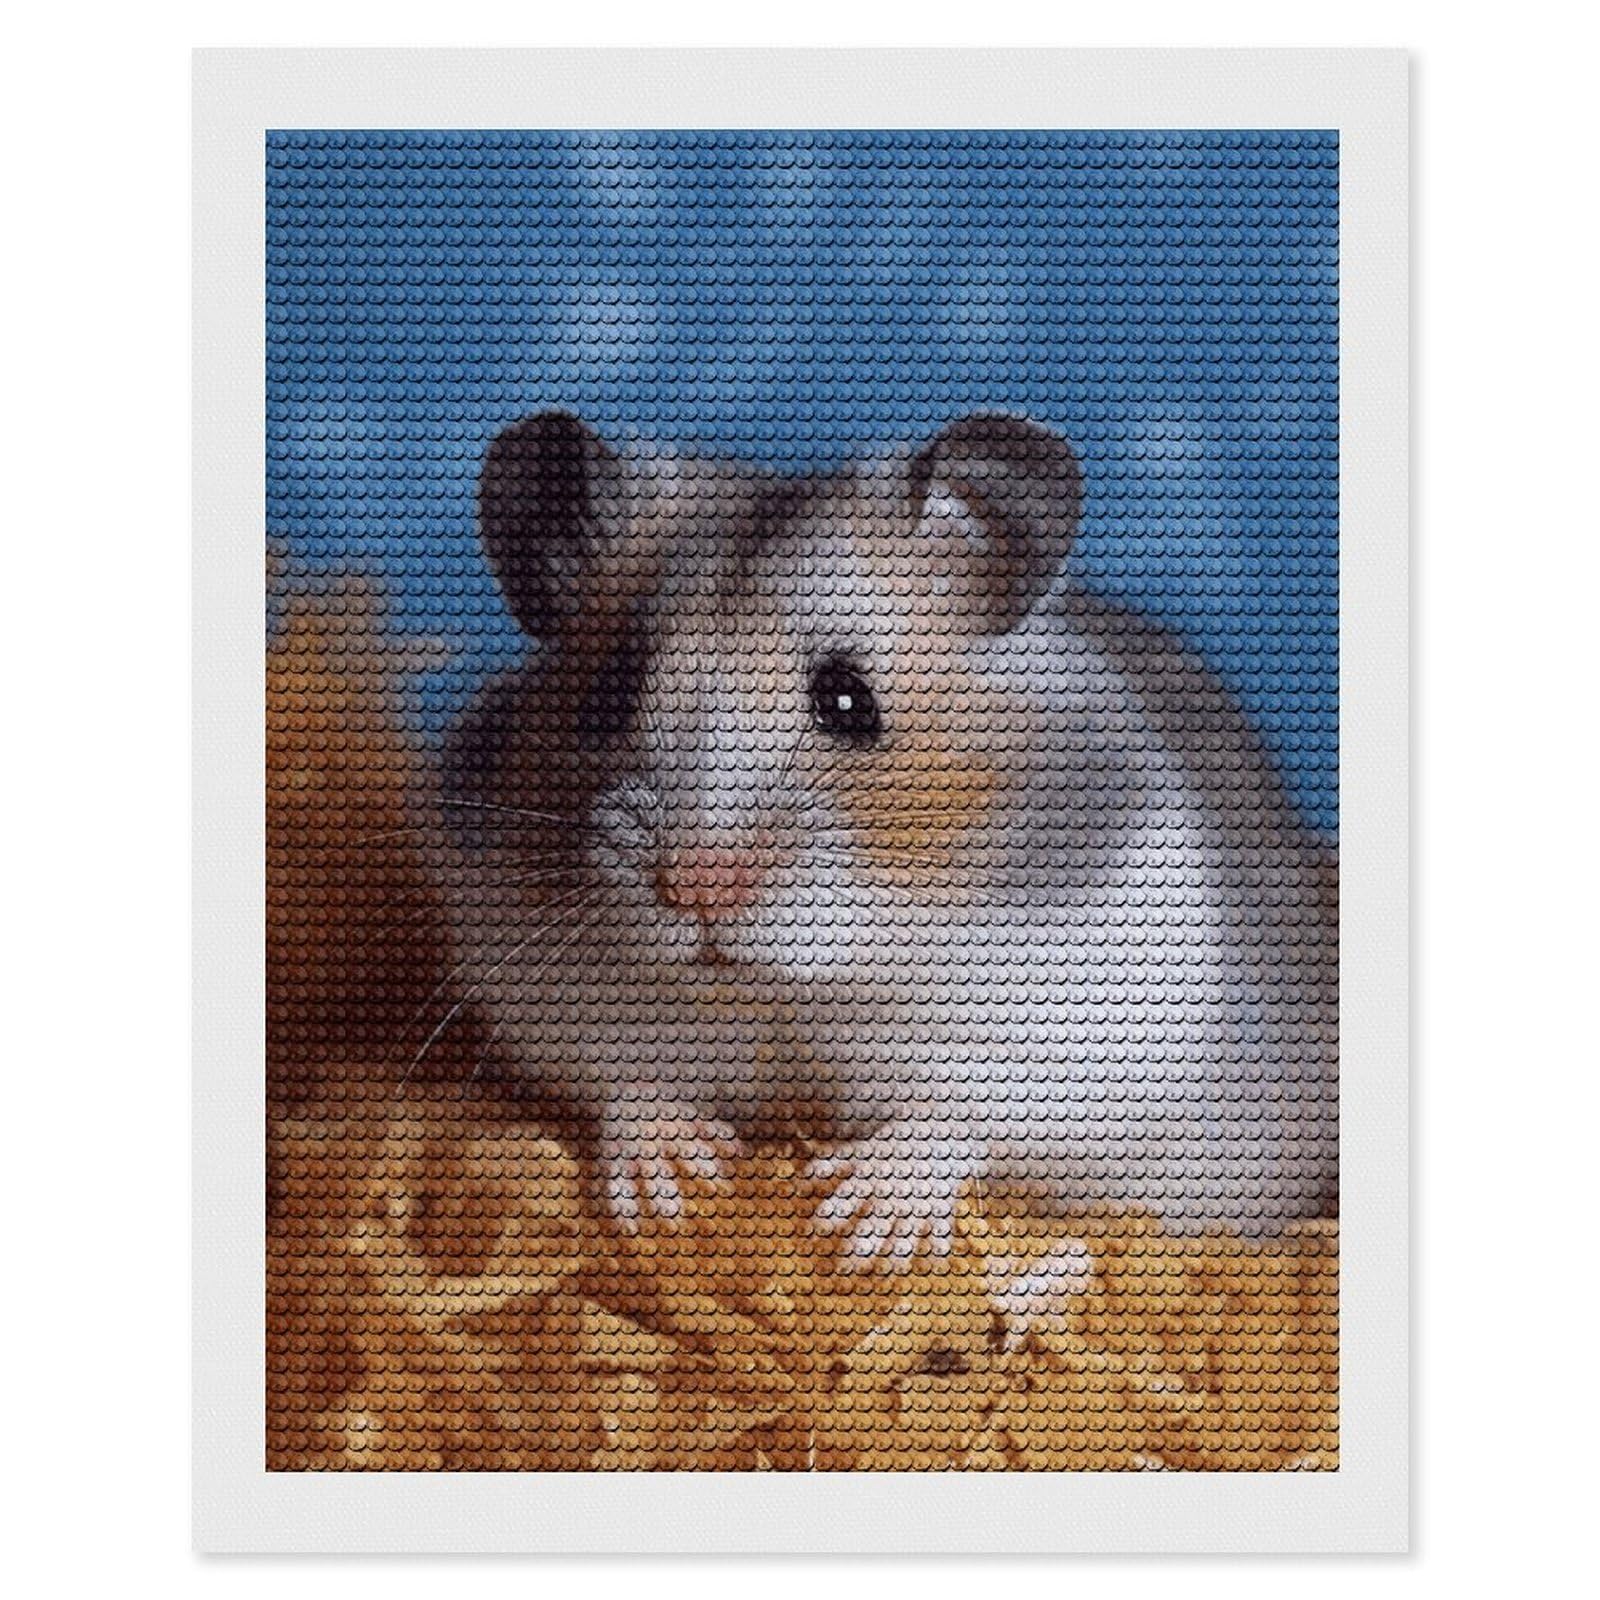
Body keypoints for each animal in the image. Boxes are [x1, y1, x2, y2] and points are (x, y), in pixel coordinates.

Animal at [434, 409, 1337, 1270]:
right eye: (610, 698)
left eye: (848, 701)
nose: (696, 887)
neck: (798, 987)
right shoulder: (532, 971)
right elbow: (623, 1078)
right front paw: (675, 1187)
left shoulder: (1089, 1020)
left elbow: (963, 1114)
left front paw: (856, 1222)